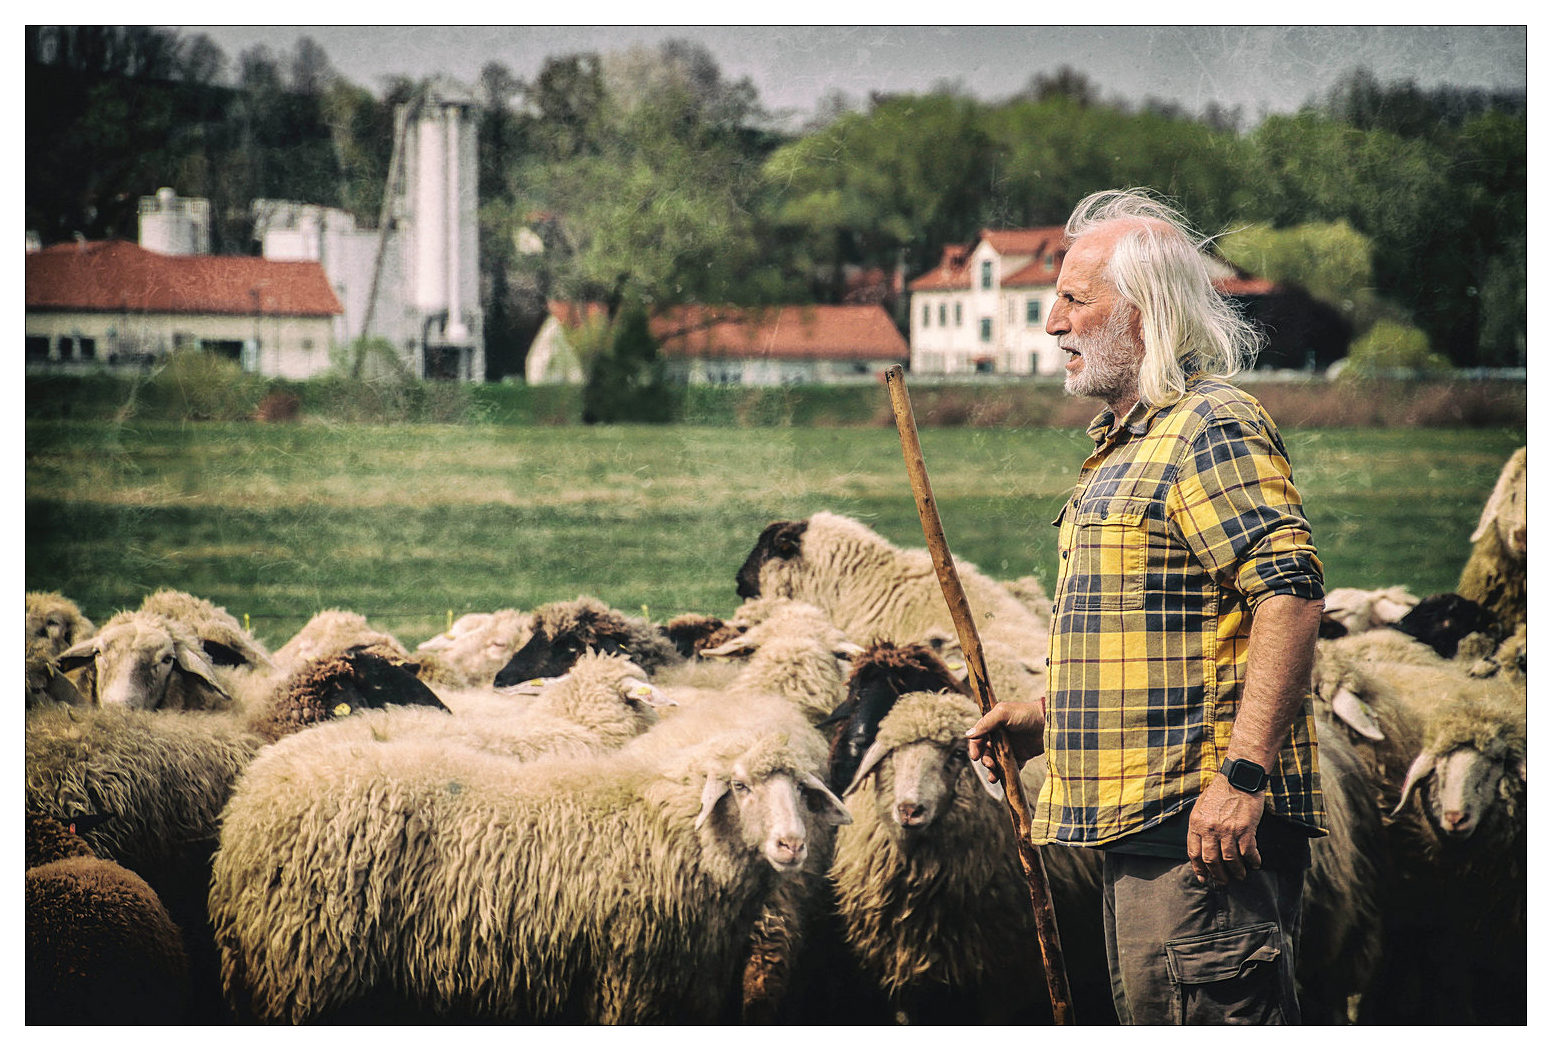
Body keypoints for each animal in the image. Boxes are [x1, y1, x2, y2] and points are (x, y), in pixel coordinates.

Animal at [209, 704, 850, 1018]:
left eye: (801, 788)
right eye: (740, 786)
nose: (792, 845)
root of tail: (252, 795)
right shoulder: (628, 979)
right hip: (310, 966)